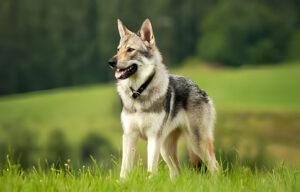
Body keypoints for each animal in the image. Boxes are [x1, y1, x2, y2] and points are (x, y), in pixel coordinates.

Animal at [108, 18, 218, 179]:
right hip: (166, 150)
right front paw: (122, 183)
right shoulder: (129, 135)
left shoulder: (153, 137)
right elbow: (124, 169)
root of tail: (199, 88)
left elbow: (151, 169)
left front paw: (149, 182)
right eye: (118, 50)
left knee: (215, 167)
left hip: (196, 143)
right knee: (177, 172)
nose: (111, 62)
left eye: (130, 50)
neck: (139, 92)